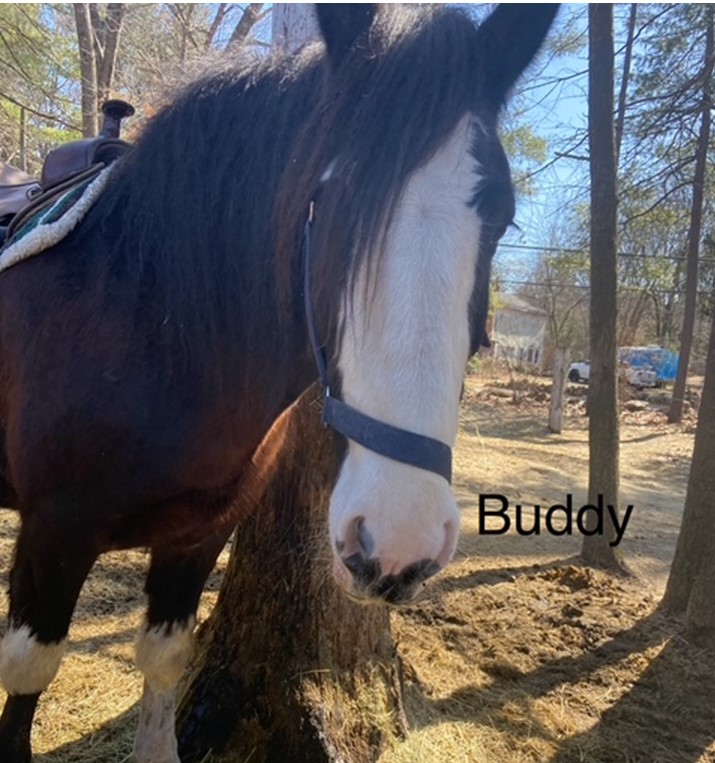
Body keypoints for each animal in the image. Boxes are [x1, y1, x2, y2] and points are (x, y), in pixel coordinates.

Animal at [0, 5, 558, 761]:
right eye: (327, 200)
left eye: (501, 215)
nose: (398, 541)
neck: (149, 325)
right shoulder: (55, 533)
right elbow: (28, 673)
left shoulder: (198, 537)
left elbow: (162, 664)